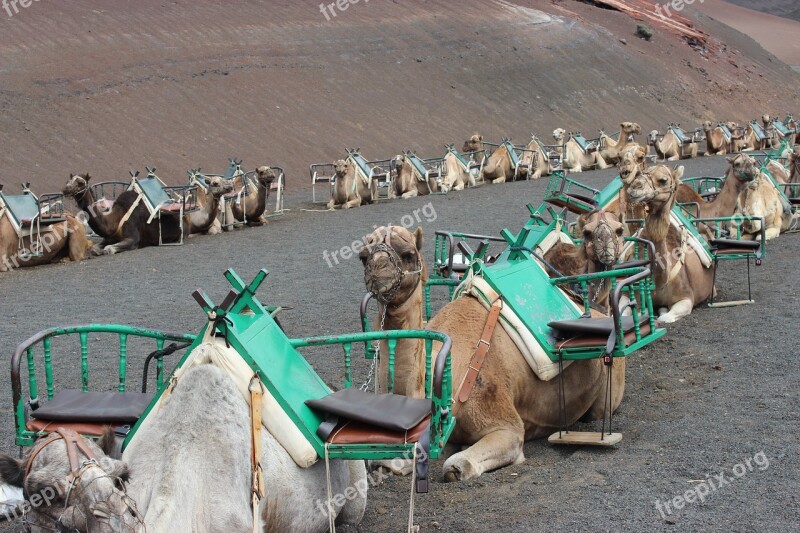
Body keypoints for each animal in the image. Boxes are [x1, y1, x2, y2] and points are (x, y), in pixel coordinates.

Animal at [360, 224, 628, 482]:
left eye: (407, 254)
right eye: (363, 256)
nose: (377, 271)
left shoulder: (506, 426)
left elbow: (457, 465)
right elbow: (386, 462)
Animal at [624, 164, 712, 322]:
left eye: (663, 180)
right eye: (639, 174)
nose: (634, 188)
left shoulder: (686, 298)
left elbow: (664, 318)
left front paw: (660, 313)